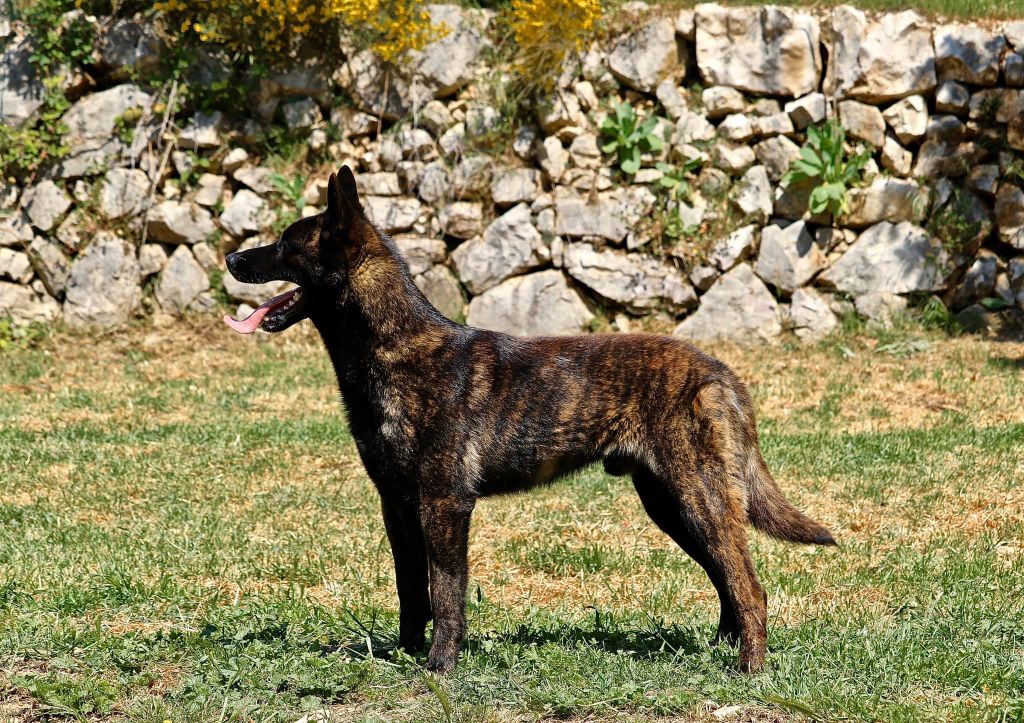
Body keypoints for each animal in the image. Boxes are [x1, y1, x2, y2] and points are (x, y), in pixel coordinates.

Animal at [222, 165, 831, 671]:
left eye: (285, 244)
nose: (230, 260)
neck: (394, 349)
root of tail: (722, 373)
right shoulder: (397, 505)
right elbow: (410, 590)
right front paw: (406, 652)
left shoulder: (444, 504)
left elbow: (446, 592)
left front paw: (440, 666)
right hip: (672, 505)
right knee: (728, 579)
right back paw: (725, 647)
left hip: (697, 499)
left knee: (748, 586)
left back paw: (748, 668)